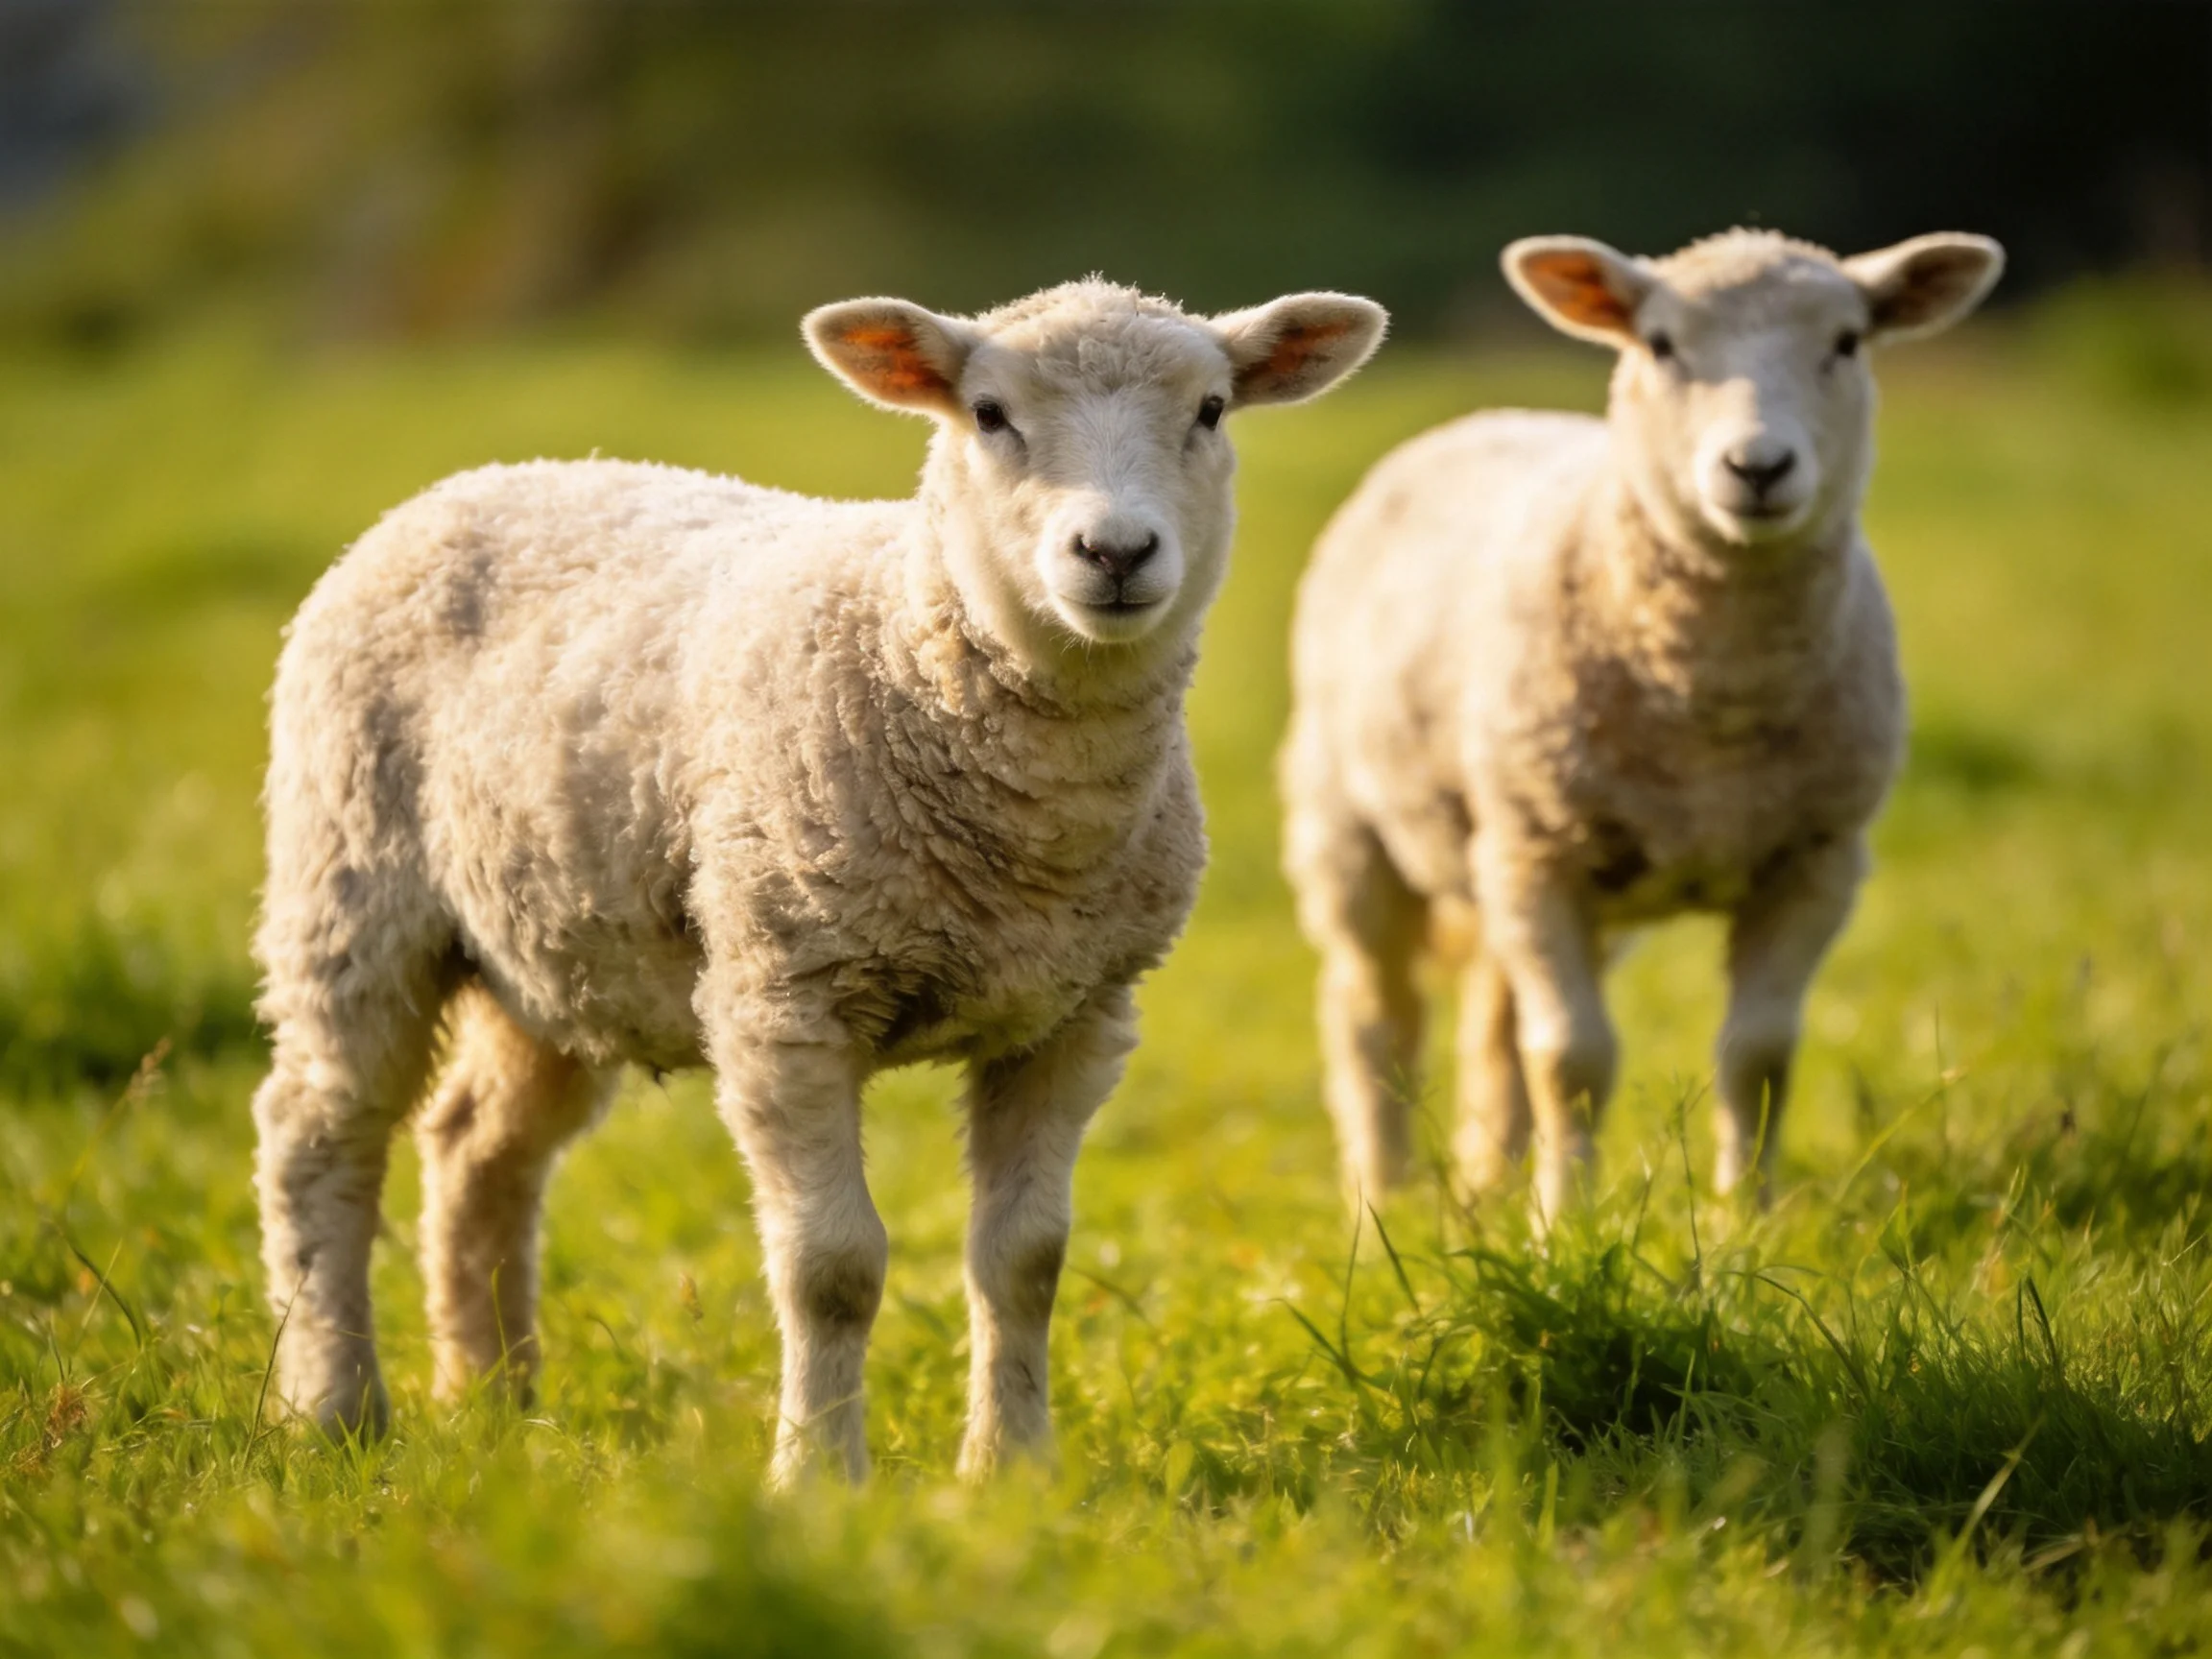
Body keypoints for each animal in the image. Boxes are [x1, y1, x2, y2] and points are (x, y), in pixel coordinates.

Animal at [251, 278, 1386, 1484]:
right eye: (989, 414)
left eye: (1211, 410)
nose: (1116, 550)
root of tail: (482, 478)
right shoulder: (781, 993)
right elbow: (832, 1266)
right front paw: (817, 1478)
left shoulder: (1073, 1013)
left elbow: (1026, 1258)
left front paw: (1012, 1471)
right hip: (351, 883)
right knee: (317, 1136)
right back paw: (333, 1406)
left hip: (551, 948)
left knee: (477, 1147)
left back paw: (495, 1400)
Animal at [1280, 228, 2001, 1222]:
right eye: (1659, 344)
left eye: (1848, 341)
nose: (1758, 468)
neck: (1715, 707)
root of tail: (1483, 416)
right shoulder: (1541, 853)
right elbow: (1572, 1059)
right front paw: (1565, 1224)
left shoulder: (1815, 859)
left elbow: (1759, 1055)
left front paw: (1748, 1222)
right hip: (1355, 823)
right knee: (1374, 1013)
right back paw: (1386, 1198)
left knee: (1493, 1017)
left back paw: (1489, 1178)